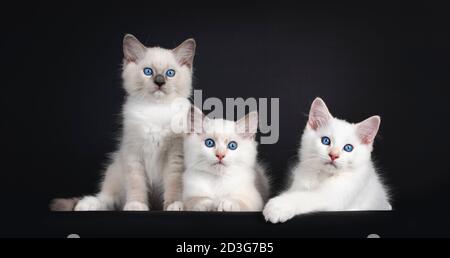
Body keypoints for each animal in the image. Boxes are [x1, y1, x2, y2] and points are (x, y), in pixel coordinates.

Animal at [51, 33, 195, 212]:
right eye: (148, 72)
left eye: (170, 73)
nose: (160, 81)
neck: (155, 110)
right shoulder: (133, 153)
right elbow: (136, 183)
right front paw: (136, 205)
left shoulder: (175, 156)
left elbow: (174, 183)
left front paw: (175, 204)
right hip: (115, 169)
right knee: (108, 198)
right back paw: (87, 204)